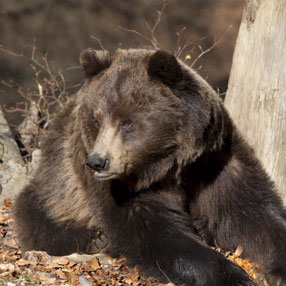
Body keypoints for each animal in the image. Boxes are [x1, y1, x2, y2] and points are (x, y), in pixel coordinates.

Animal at [13, 49, 286, 286]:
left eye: (127, 122)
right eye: (96, 120)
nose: (98, 161)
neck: (169, 163)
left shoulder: (214, 162)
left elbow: (251, 212)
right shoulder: (128, 188)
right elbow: (155, 234)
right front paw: (234, 277)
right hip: (56, 188)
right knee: (38, 219)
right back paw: (95, 240)